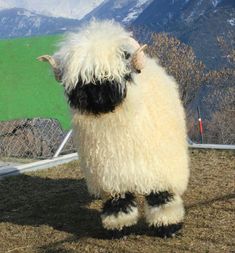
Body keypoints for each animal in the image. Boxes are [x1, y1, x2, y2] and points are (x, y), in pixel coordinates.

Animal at [38, 19, 189, 237]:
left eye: (114, 72)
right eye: (80, 78)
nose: (94, 96)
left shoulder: (158, 169)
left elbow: (161, 198)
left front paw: (167, 226)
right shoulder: (110, 176)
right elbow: (119, 203)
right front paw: (120, 227)